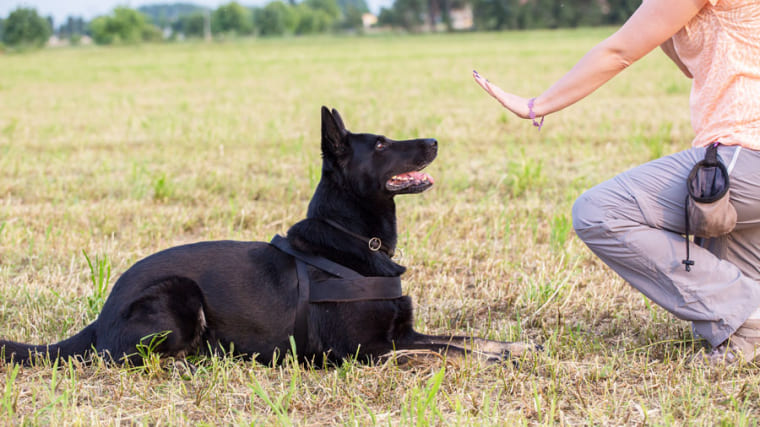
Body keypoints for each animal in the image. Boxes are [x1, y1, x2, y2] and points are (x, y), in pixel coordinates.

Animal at [1, 108, 536, 366]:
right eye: (383, 145)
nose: (434, 141)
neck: (352, 241)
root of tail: (102, 313)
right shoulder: (366, 352)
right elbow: (445, 352)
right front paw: (490, 364)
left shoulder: (401, 333)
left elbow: (462, 338)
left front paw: (511, 349)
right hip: (178, 294)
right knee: (130, 360)